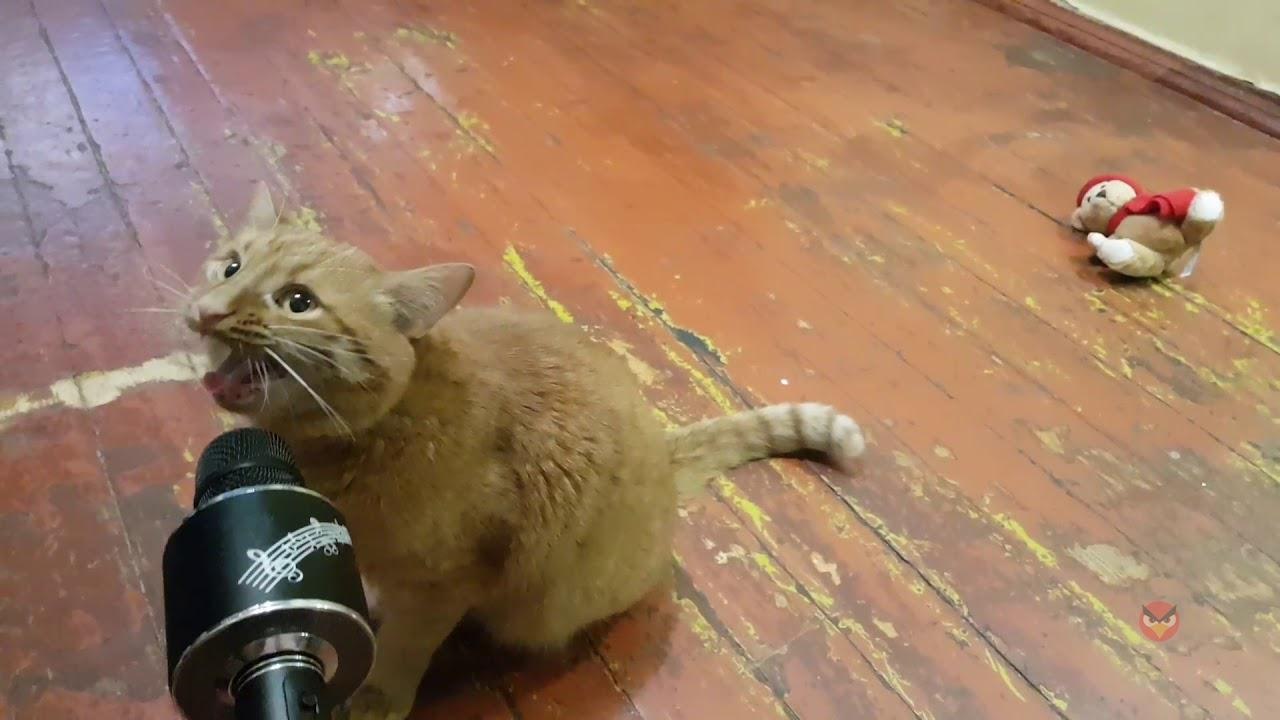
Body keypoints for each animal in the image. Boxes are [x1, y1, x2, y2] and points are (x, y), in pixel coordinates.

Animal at [182, 182, 866, 720]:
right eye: (230, 267)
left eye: (298, 302)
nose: (208, 313)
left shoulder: (447, 580)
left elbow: (407, 644)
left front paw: (379, 696)